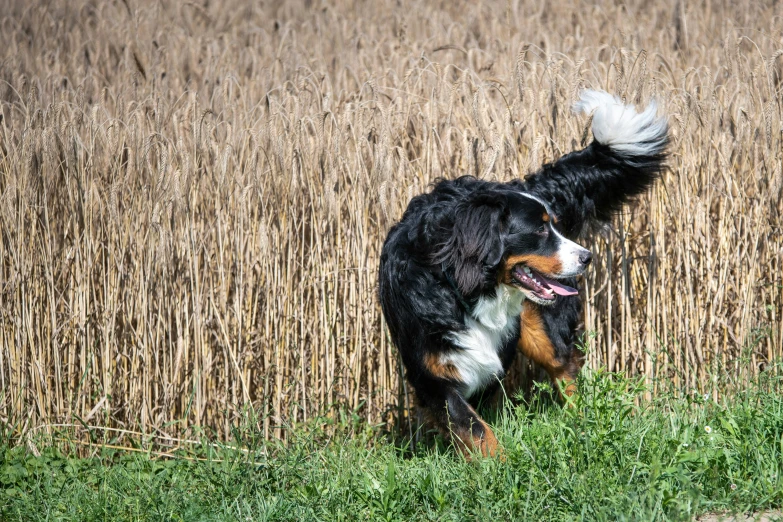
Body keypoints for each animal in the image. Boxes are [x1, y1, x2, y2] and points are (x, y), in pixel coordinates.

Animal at [378, 90, 668, 456]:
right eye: (540, 231)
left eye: (554, 226)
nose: (586, 257)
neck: (462, 287)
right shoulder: (431, 371)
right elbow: (472, 424)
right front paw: (492, 460)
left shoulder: (493, 356)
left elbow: (478, 421)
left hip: (543, 328)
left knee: (565, 368)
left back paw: (582, 424)